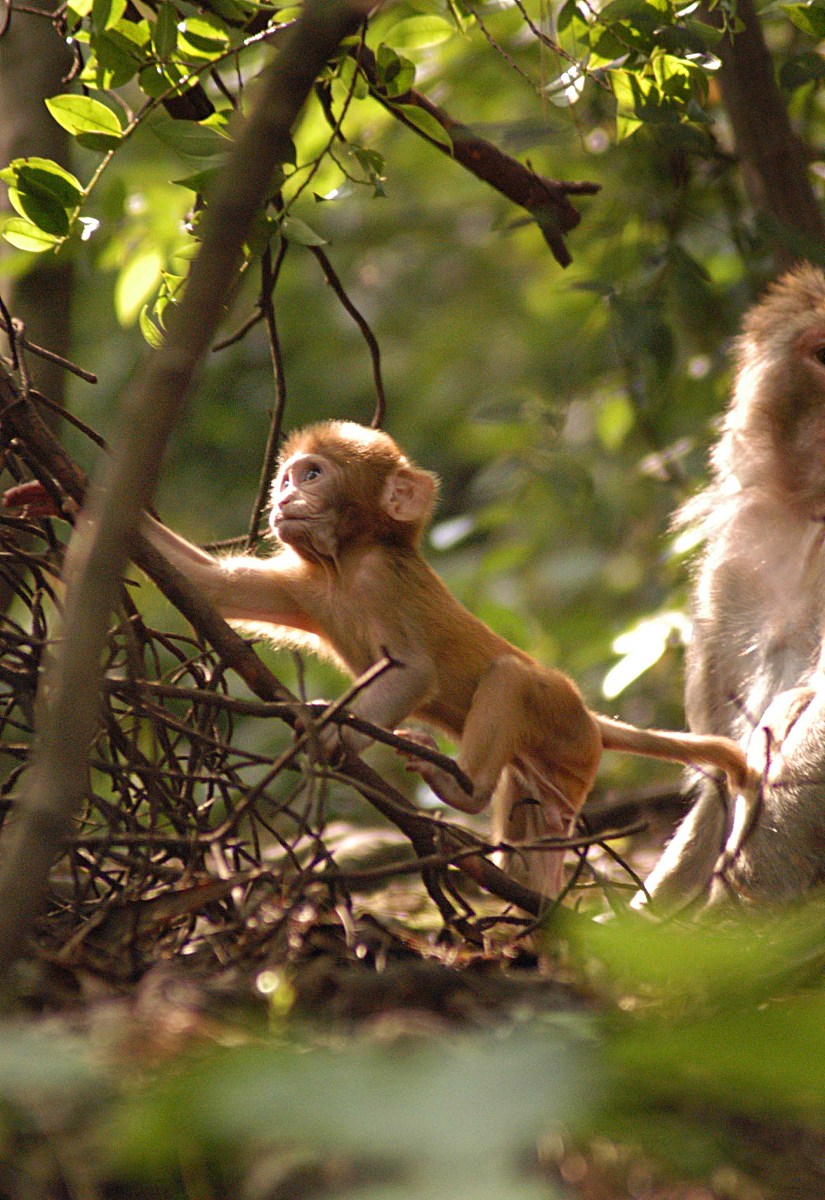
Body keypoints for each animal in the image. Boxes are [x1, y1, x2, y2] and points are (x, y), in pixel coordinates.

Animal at [9, 417, 757, 897]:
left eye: (313, 474)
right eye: (287, 477)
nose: (284, 496)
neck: (346, 562)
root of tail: (589, 719)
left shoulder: (379, 581)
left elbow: (415, 670)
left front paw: (330, 738)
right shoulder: (307, 585)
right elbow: (208, 585)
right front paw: (68, 494)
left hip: (560, 725)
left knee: (511, 677)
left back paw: (462, 789)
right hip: (552, 771)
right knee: (533, 837)